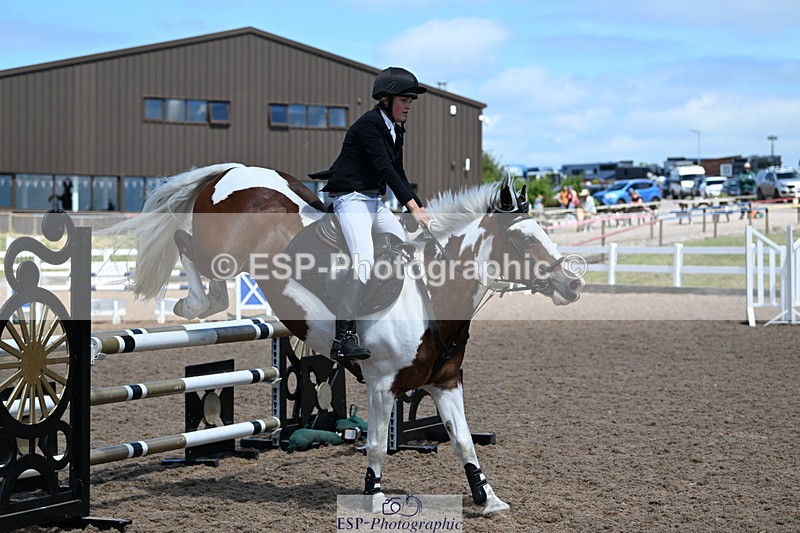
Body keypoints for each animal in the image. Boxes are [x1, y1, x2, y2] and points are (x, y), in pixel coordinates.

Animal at [103, 163, 584, 515]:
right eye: (523, 240)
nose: (574, 285)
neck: (431, 294)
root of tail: (233, 171)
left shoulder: (446, 382)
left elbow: (463, 439)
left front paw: (488, 499)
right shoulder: (382, 385)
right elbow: (376, 445)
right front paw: (375, 499)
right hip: (217, 250)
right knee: (186, 245)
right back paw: (192, 304)